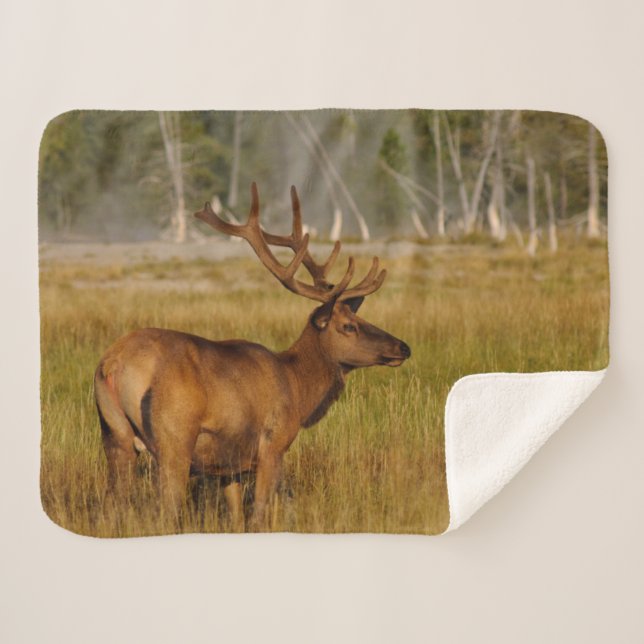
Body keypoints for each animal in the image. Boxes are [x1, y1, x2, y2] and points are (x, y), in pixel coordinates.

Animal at [94, 183, 411, 531]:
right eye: (349, 326)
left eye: (361, 318)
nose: (402, 347)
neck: (297, 388)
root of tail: (113, 364)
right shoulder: (273, 444)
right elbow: (259, 514)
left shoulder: (229, 466)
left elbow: (236, 518)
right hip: (173, 439)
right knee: (166, 510)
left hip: (115, 436)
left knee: (109, 508)